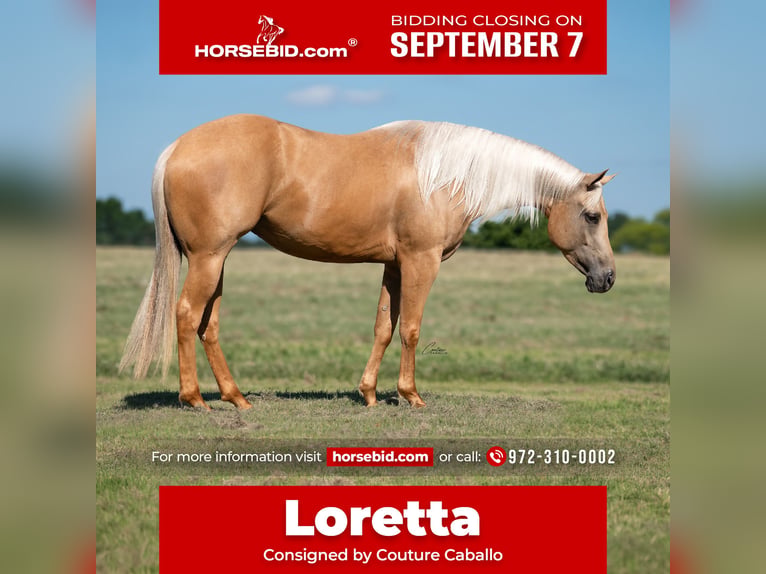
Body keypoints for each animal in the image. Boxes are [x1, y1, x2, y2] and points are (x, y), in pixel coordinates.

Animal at [119, 115, 616, 411]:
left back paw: (236, 398)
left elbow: (384, 327)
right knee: (186, 315)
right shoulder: (421, 262)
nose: (608, 278)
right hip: (209, 258)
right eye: (592, 216)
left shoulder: (394, 266)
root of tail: (178, 146)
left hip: (215, 261)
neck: (444, 175)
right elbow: (411, 328)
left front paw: (371, 393)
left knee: (209, 325)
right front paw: (410, 396)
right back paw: (194, 399)